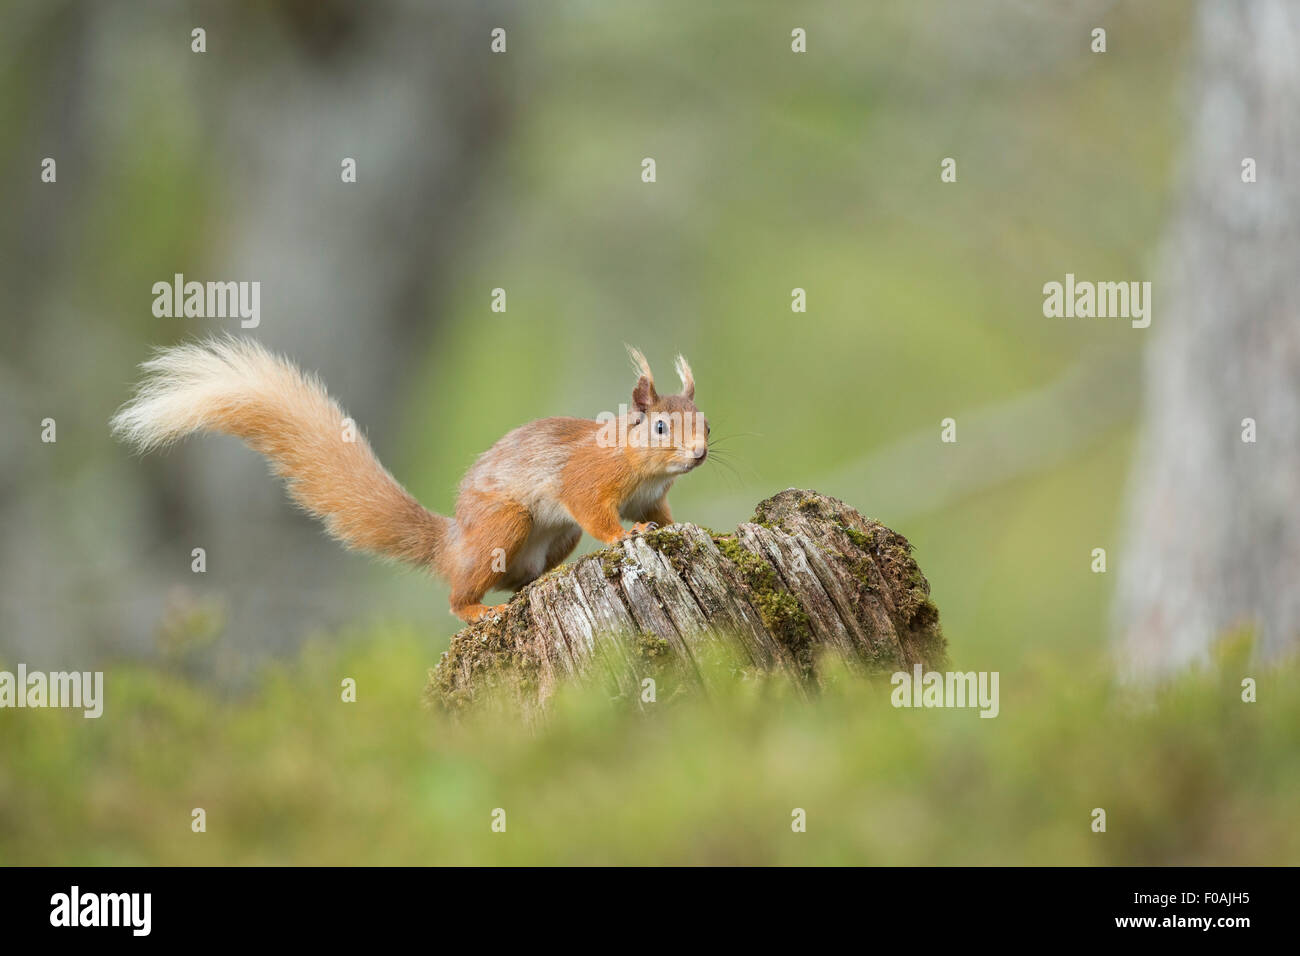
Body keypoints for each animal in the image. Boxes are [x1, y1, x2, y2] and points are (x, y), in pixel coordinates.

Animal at [111, 340, 712, 624]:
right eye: (661, 426)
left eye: (706, 423)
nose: (700, 454)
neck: (637, 462)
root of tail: (452, 543)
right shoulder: (586, 481)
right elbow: (595, 510)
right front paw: (622, 537)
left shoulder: (650, 498)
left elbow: (659, 516)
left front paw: (676, 527)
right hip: (504, 525)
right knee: (459, 594)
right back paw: (477, 610)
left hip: (550, 540)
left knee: (520, 580)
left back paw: (535, 584)